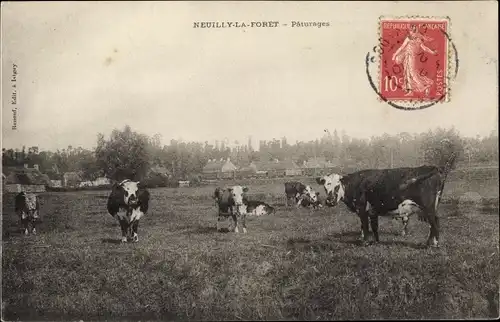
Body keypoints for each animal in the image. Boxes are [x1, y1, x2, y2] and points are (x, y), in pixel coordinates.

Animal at [316, 153, 458, 247]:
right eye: (325, 186)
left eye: (337, 185)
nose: (330, 201)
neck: (355, 184)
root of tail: (434, 168)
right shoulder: (372, 211)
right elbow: (373, 227)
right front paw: (376, 241)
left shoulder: (362, 209)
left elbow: (365, 226)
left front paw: (365, 242)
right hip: (431, 207)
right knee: (433, 224)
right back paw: (429, 243)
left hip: (428, 207)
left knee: (435, 223)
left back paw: (434, 245)